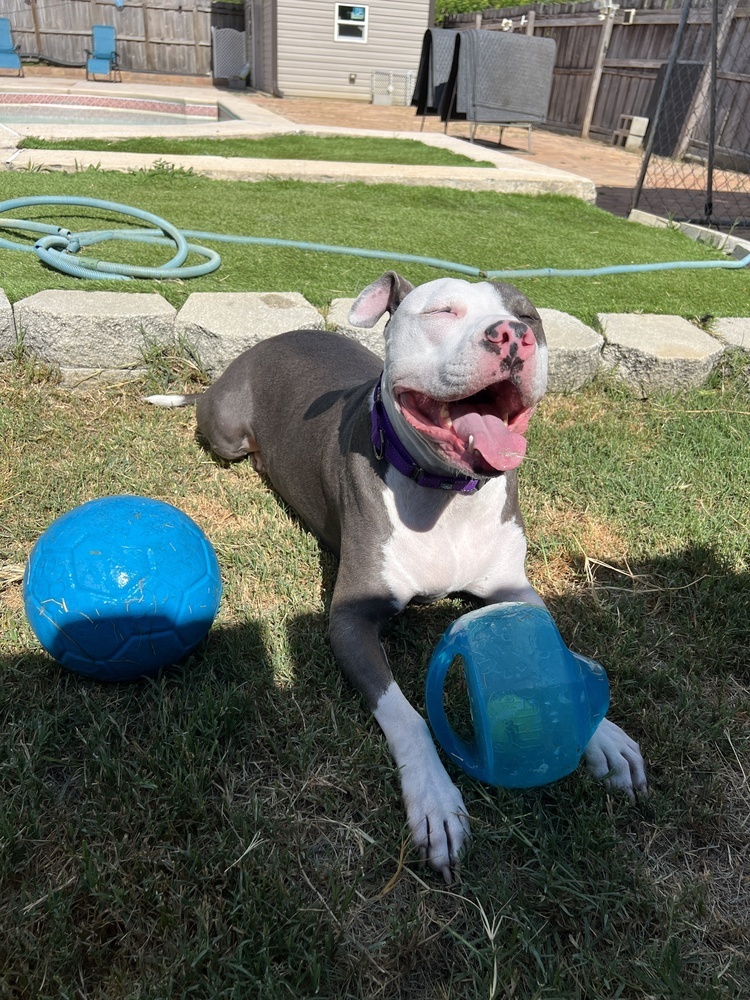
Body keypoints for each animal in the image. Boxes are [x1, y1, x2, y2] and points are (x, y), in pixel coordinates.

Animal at [145, 274, 648, 884]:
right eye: (442, 310)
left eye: (528, 313)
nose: (512, 335)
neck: (447, 493)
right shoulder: (349, 620)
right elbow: (407, 717)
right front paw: (434, 801)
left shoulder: (515, 588)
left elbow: (554, 649)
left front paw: (605, 734)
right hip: (225, 432)